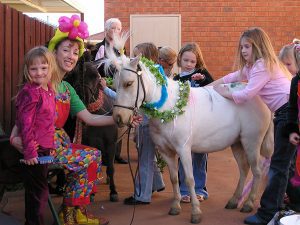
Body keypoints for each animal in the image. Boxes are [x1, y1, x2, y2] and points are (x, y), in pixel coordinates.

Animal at [104, 42, 274, 223]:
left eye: (129, 83)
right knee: (244, 169)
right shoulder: (166, 152)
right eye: (114, 84)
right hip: (237, 143)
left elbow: (190, 179)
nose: (118, 117)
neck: (169, 106)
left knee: (257, 171)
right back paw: (234, 201)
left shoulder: (183, 149)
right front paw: (175, 207)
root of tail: (260, 99)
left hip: (251, 142)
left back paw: (248, 204)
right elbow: (174, 179)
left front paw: (195, 212)